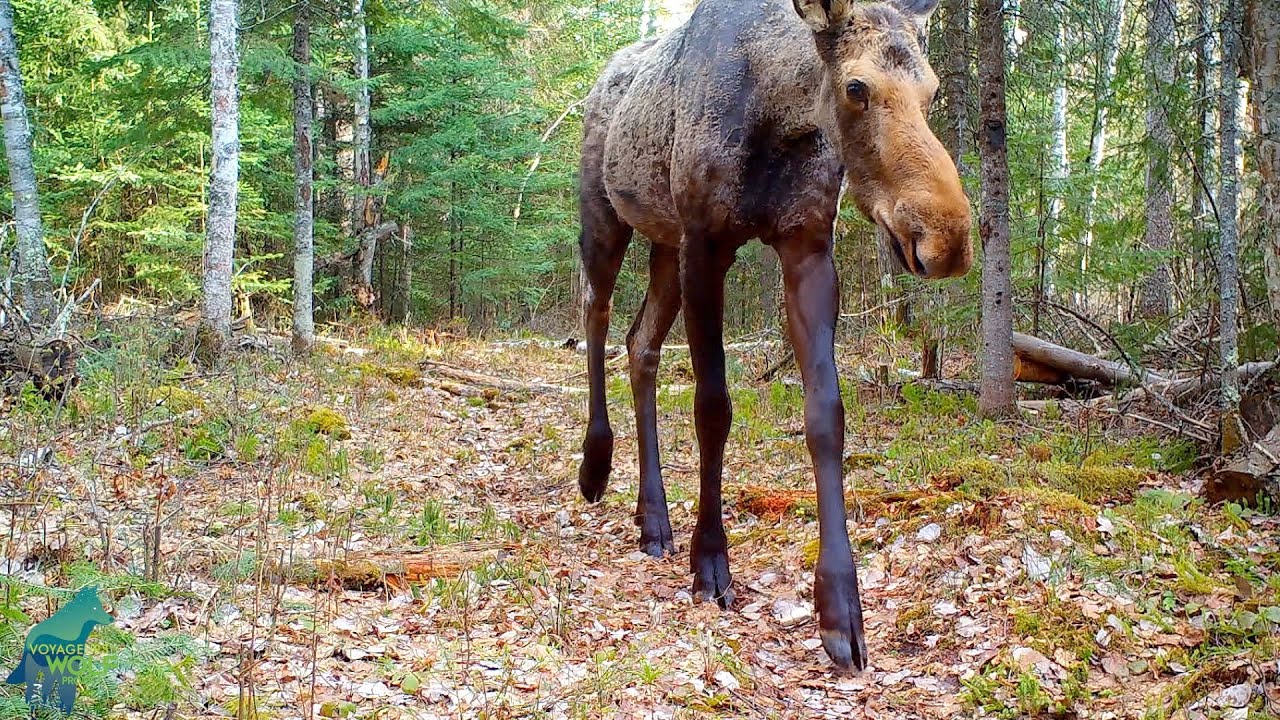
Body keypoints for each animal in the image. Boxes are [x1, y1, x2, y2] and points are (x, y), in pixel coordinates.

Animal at [578, 0, 967, 666]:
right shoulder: (707, 244)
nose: (949, 239)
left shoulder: (806, 244)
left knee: (641, 344)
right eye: (856, 87)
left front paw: (840, 608)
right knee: (595, 315)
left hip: (664, 243)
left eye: (932, 88)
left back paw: (653, 518)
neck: (779, 116)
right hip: (606, 217)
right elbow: (713, 406)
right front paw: (711, 562)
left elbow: (827, 415)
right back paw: (596, 466)